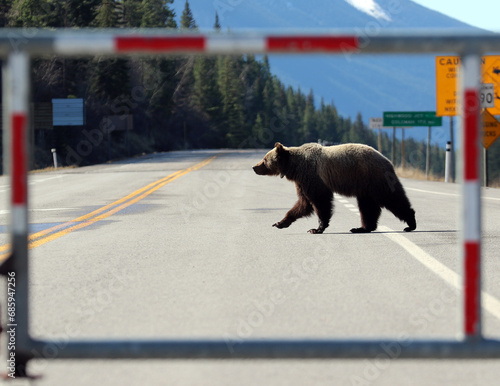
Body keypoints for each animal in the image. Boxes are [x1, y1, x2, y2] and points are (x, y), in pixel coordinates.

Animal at [252, 141, 416, 234]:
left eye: (264, 159)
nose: (254, 167)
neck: (295, 167)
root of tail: (387, 160)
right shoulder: (302, 181)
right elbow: (303, 204)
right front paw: (280, 223)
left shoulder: (312, 176)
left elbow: (320, 201)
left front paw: (316, 229)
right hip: (365, 187)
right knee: (367, 207)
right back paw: (361, 228)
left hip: (374, 178)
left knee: (392, 198)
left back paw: (410, 223)